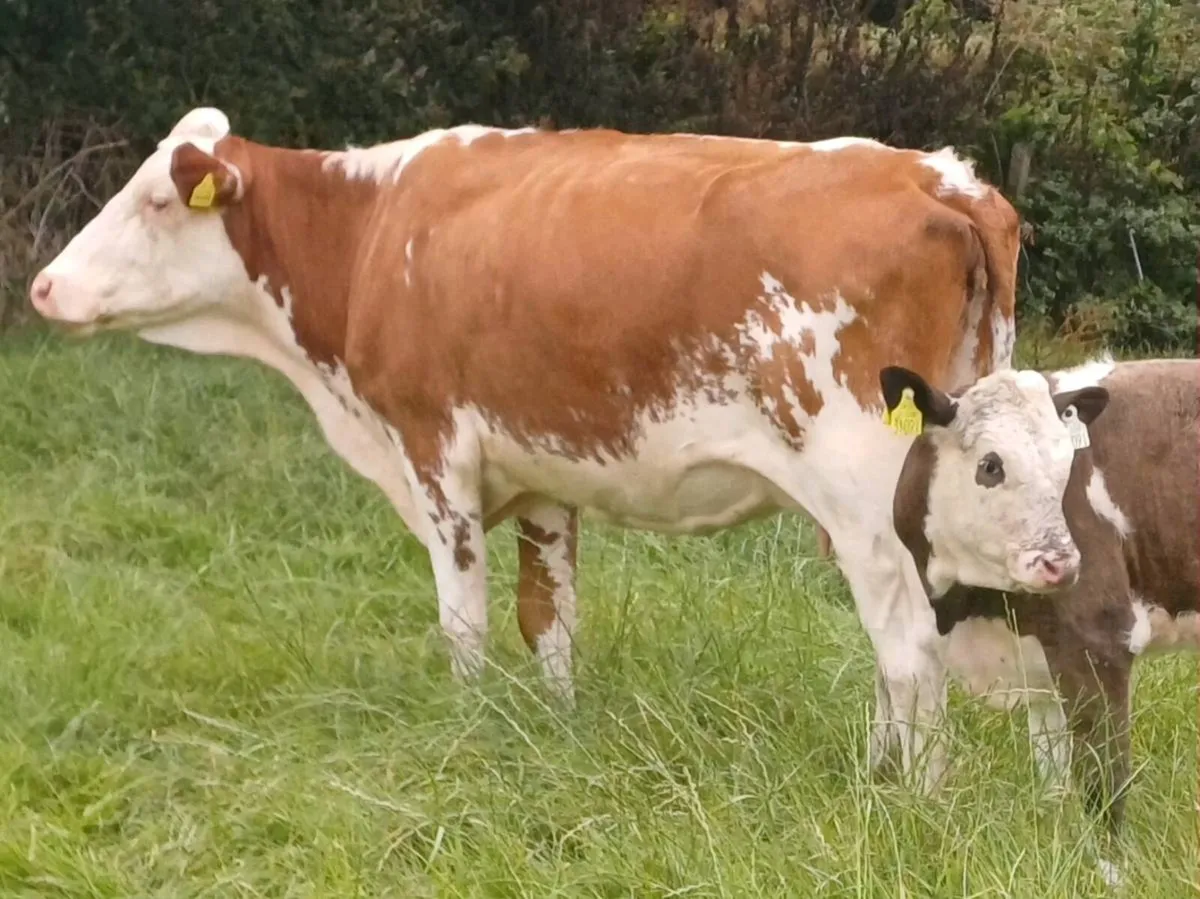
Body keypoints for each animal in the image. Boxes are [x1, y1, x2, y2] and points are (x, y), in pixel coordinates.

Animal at [30, 106, 1037, 791]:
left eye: (156, 200)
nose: (42, 286)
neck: (373, 229)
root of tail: (943, 177)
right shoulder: (543, 466)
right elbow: (548, 614)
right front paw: (558, 726)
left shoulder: (433, 448)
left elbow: (464, 616)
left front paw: (466, 724)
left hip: (863, 492)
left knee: (907, 646)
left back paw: (911, 794)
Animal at [891, 355, 1199, 886]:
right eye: (991, 465)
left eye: (1065, 469)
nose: (1063, 564)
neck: (969, 604)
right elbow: (1052, 775)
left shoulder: (1097, 639)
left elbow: (1103, 774)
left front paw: (1111, 873)